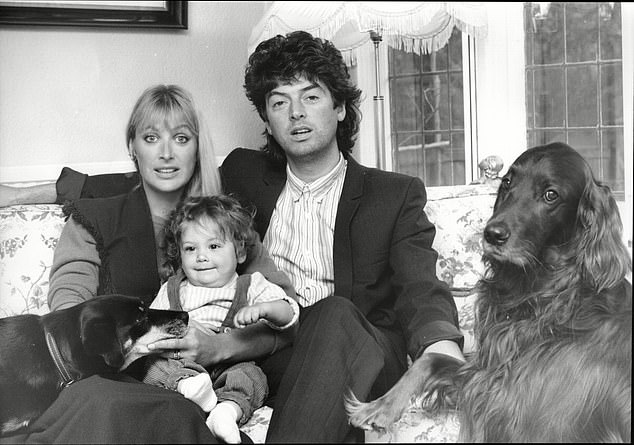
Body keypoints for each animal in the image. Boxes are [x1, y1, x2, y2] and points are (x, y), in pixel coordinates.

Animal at [344, 143, 628, 440]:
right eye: (507, 182)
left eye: (551, 194)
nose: (492, 234)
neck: (541, 296)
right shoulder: (484, 378)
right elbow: (431, 358)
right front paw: (379, 406)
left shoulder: (541, 425)